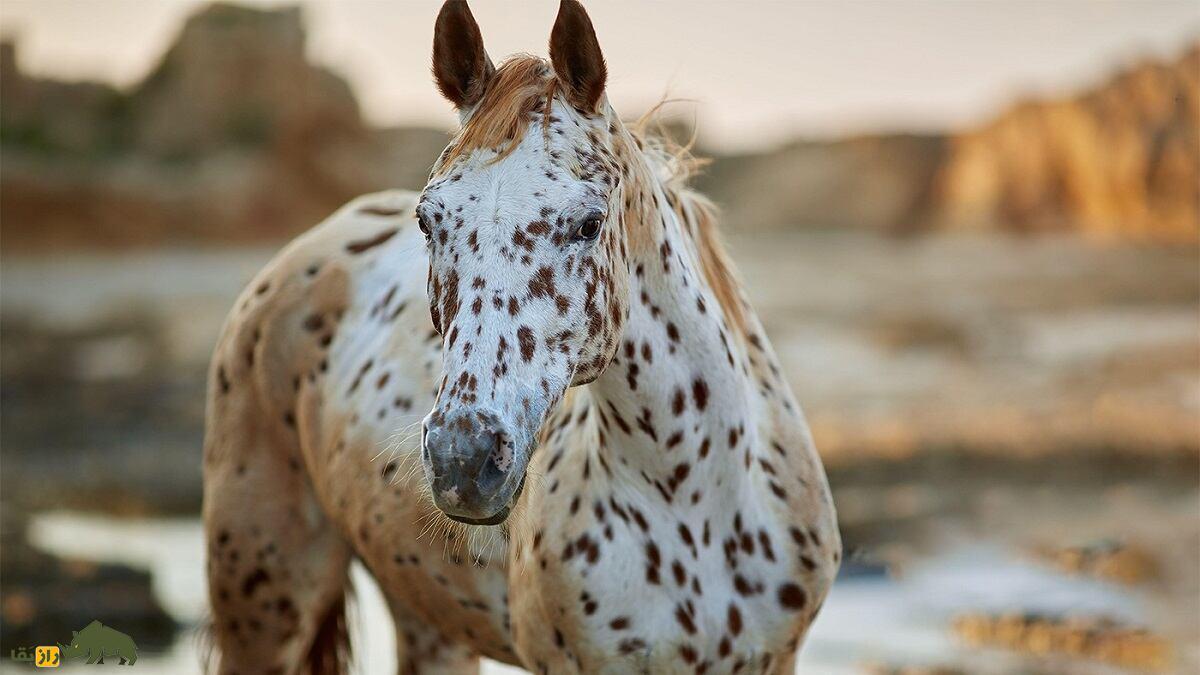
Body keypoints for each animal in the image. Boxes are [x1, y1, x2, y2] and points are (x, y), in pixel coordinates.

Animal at [201, 2, 840, 667]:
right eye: (429, 221)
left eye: (589, 223)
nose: (463, 461)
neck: (691, 498)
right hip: (265, 601)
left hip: (428, 624)